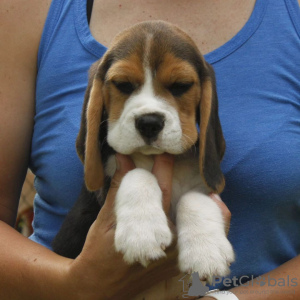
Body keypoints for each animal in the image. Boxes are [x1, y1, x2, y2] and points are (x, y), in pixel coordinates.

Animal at [53, 20, 234, 282]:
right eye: (122, 84)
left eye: (181, 86)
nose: (149, 122)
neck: (152, 158)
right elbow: (137, 174)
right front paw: (141, 233)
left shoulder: (201, 185)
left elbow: (193, 198)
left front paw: (206, 251)